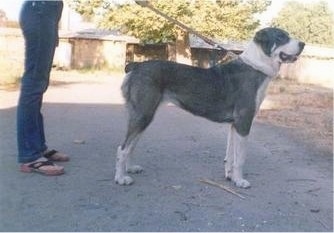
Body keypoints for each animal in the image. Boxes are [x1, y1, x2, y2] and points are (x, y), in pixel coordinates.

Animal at [115, 26, 306, 187]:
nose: (303, 44)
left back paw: (130, 168)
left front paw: (230, 177)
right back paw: (121, 177)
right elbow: (240, 157)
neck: (256, 67)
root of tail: (136, 65)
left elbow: (230, 156)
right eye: (281, 37)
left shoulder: (234, 124)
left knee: (131, 145)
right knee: (123, 148)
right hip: (143, 114)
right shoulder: (244, 121)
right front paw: (240, 181)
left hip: (143, 115)